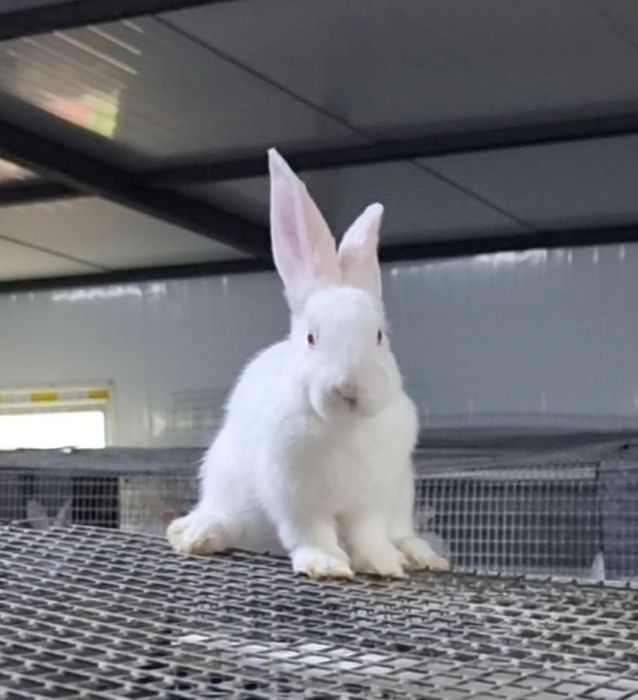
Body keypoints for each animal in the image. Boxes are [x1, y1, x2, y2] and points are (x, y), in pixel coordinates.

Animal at [167, 148, 450, 579]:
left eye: (379, 336)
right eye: (312, 338)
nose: (349, 388)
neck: (345, 427)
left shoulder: (370, 501)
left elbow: (368, 535)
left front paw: (382, 565)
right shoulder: (296, 496)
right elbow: (311, 533)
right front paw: (327, 565)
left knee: (400, 533)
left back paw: (421, 555)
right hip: (225, 481)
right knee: (227, 519)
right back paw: (196, 535)